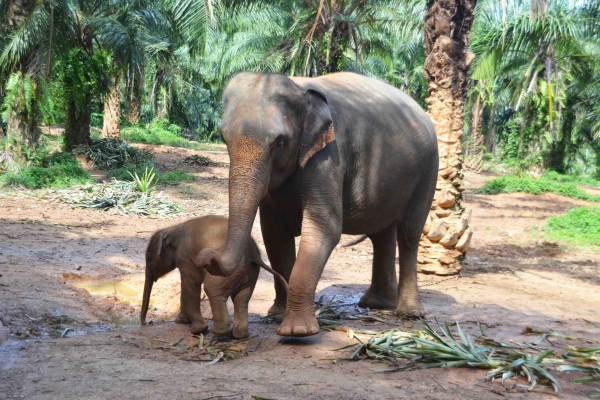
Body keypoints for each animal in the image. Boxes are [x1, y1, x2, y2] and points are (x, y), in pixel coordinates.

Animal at [141, 214, 286, 340]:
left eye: (149, 259)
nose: (145, 323)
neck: (172, 229)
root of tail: (254, 254)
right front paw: (182, 320)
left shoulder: (186, 256)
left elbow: (191, 284)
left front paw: (195, 329)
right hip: (249, 273)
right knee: (242, 298)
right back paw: (239, 335)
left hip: (225, 273)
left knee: (213, 290)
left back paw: (216, 331)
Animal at [197, 70, 436, 336]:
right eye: (223, 138)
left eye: (280, 142)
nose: (205, 255)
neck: (298, 86)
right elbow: (275, 234)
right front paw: (277, 314)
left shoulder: (329, 156)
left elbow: (324, 228)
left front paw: (297, 331)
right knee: (381, 232)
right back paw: (376, 304)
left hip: (428, 169)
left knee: (409, 233)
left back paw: (409, 313)